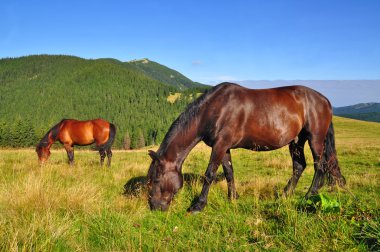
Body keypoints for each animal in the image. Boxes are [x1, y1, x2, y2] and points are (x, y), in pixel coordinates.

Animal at [147, 82, 346, 211]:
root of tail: (325, 100)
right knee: (299, 166)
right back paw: (285, 194)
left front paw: (198, 205)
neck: (214, 109)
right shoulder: (224, 147)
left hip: (315, 139)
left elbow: (210, 174)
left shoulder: (220, 145)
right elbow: (229, 172)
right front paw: (233, 198)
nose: (154, 207)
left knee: (320, 166)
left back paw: (309, 195)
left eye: (156, 180)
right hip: (296, 141)